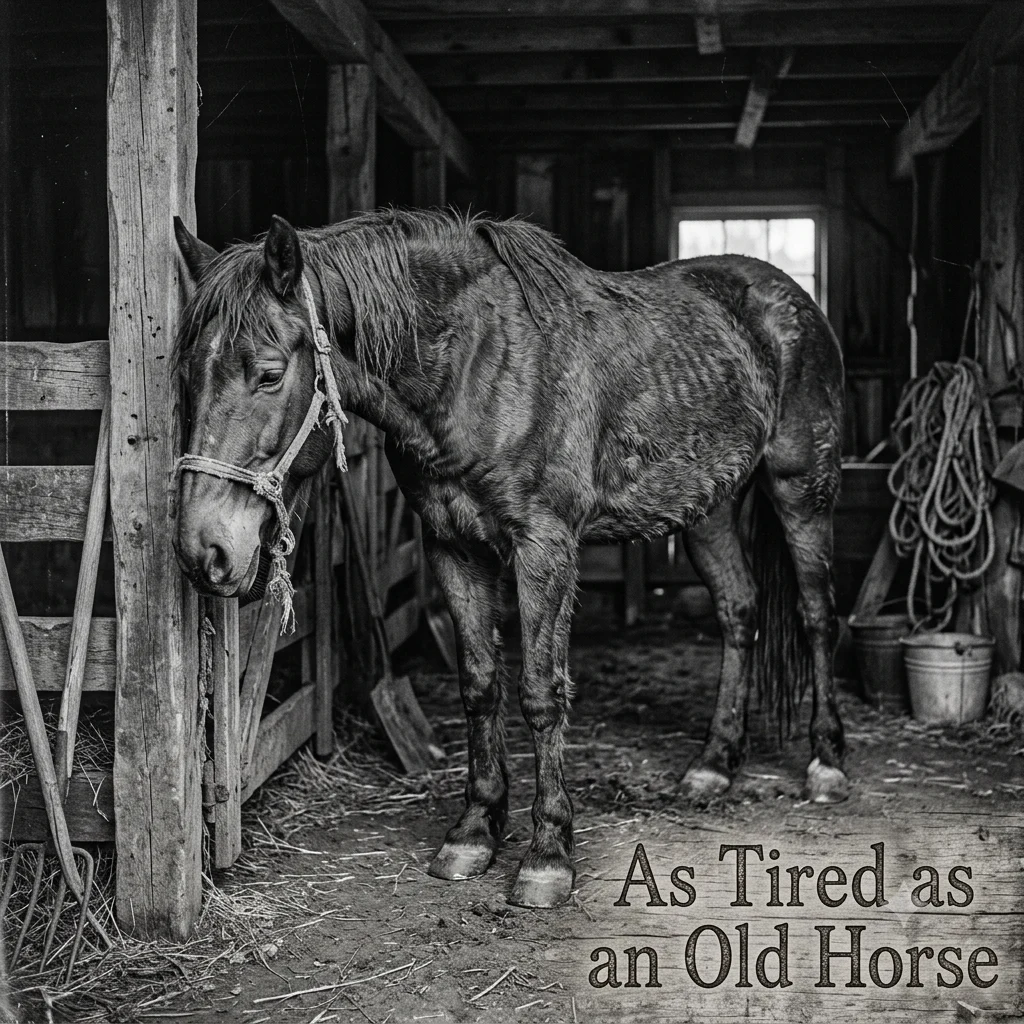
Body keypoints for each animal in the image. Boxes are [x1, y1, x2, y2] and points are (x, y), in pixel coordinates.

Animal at [172, 208, 848, 909]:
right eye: (186, 377)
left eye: (269, 373)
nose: (203, 550)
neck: (473, 366)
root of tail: (786, 298)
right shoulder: (451, 544)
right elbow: (479, 684)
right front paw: (474, 831)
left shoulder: (543, 545)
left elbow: (540, 693)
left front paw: (548, 854)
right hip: (709, 510)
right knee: (740, 613)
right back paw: (715, 765)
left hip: (802, 490)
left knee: (817, 615)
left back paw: (826, 765)